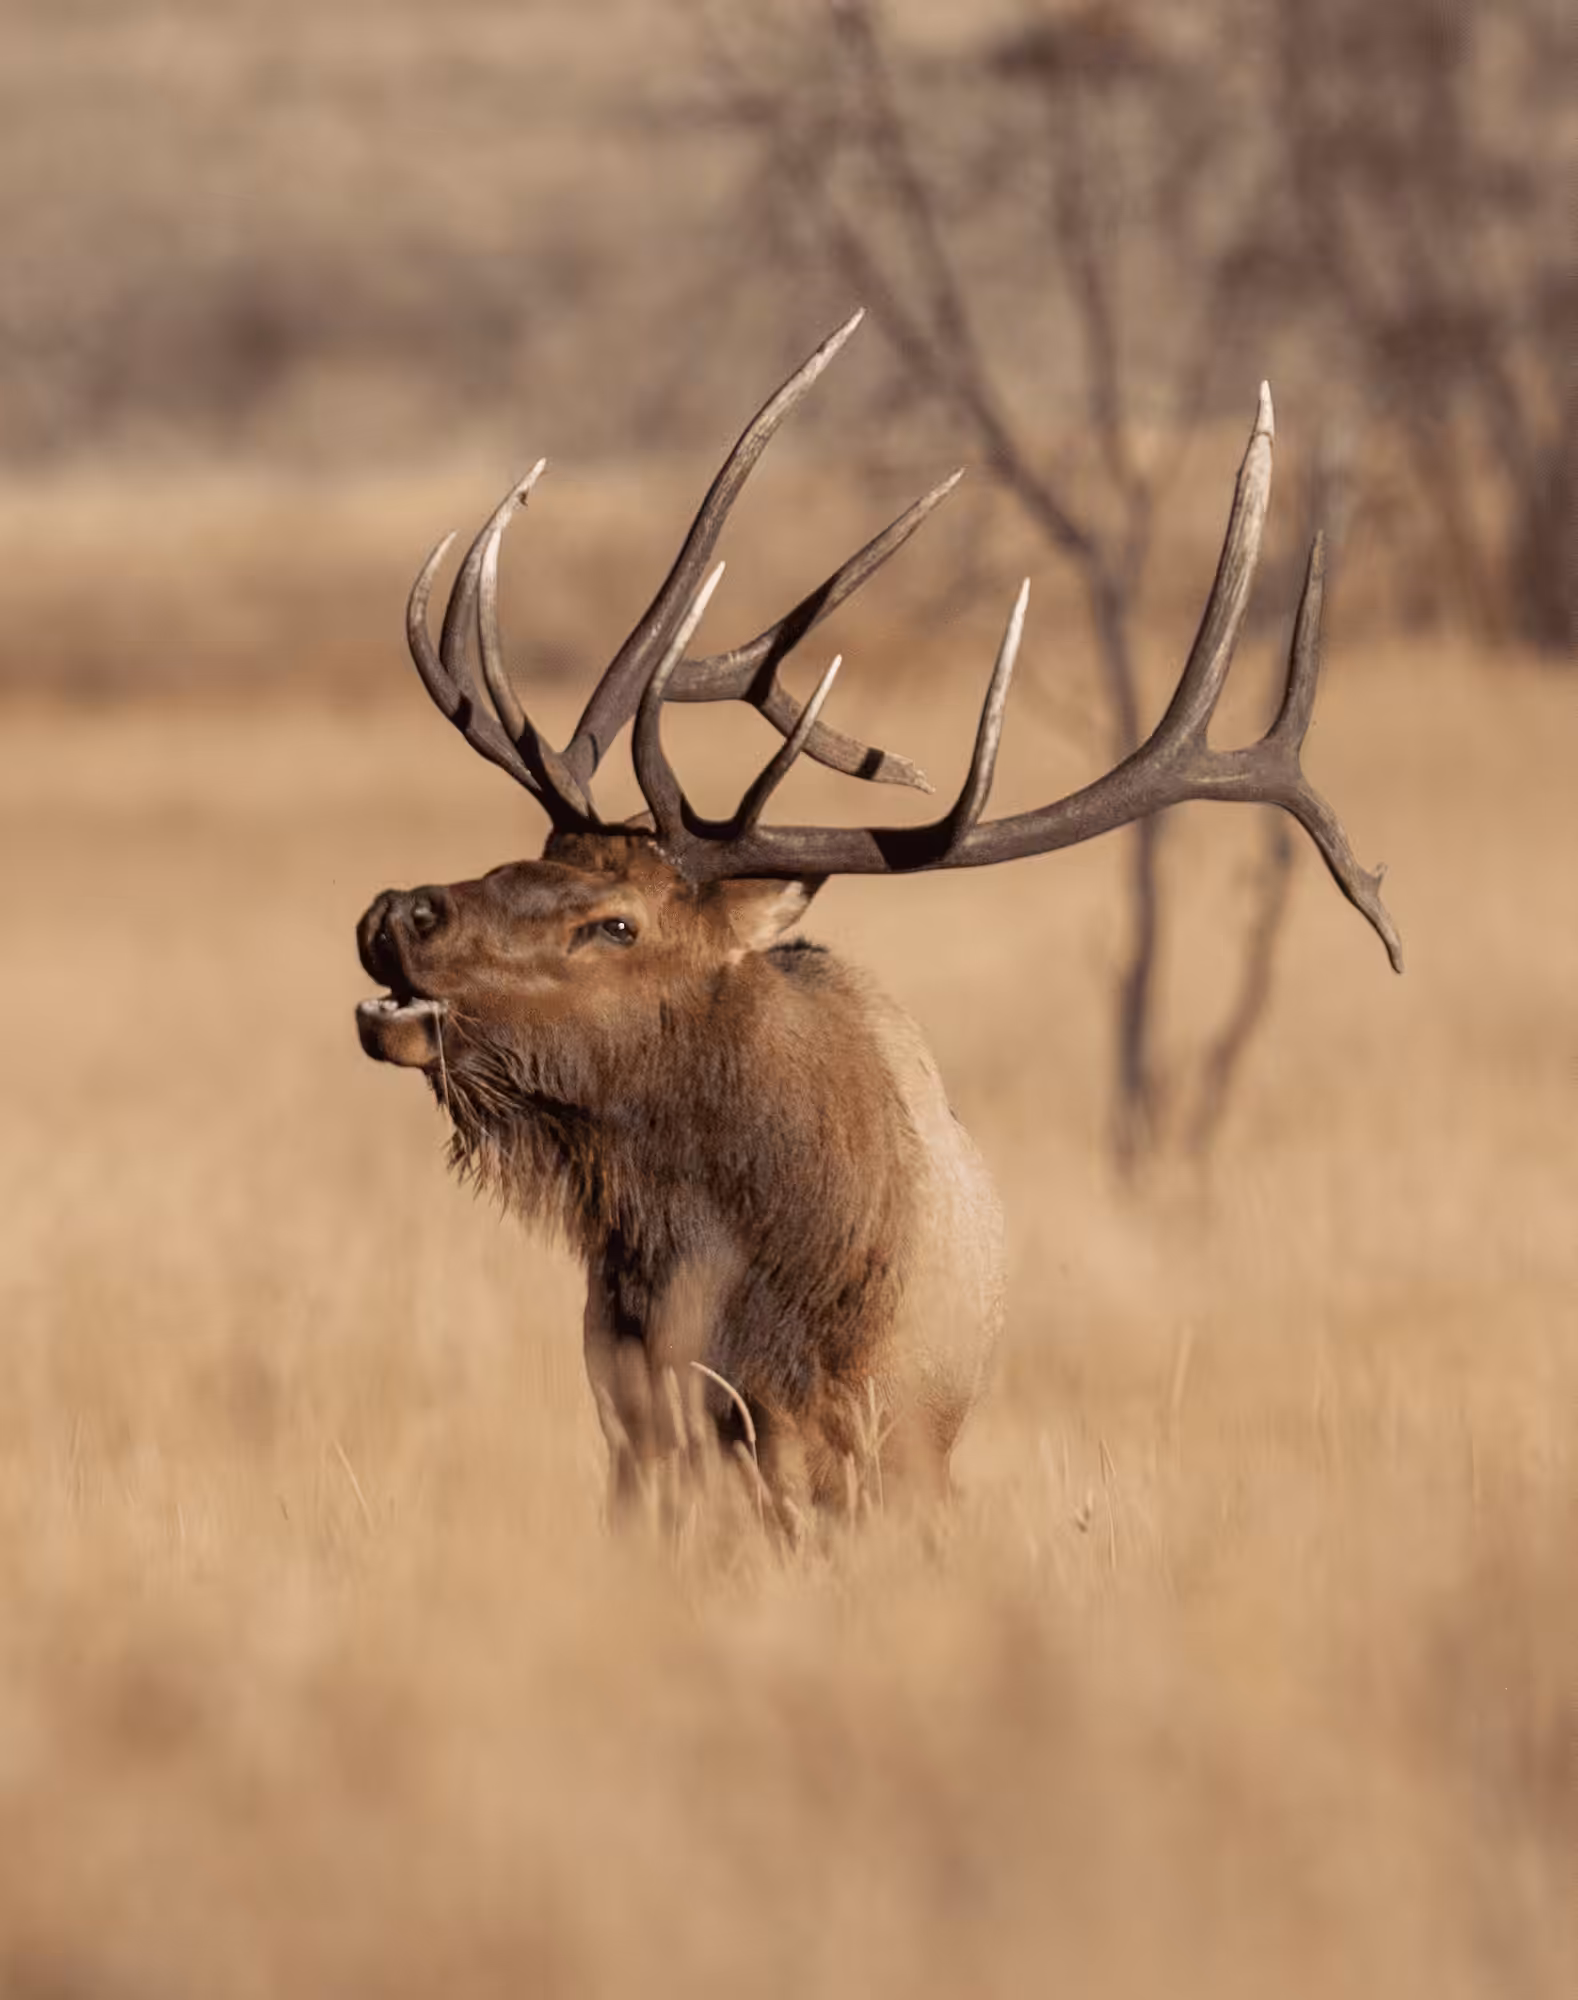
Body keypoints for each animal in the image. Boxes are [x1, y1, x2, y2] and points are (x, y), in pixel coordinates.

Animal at [355, 312, 1401, 1526]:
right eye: (538, 852)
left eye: (615, 924)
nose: (397, 912)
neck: (758, 1291)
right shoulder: (644, 1440)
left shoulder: (891, 1452)